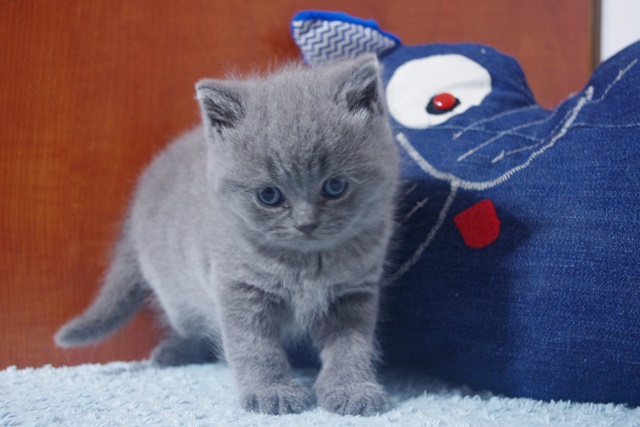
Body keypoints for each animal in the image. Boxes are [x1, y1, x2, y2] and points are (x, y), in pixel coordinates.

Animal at [54, 54, 400, 416]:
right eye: (269, 195)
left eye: (335, 186)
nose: (306, 224)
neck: (306, 264)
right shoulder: (240, 288)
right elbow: (254, 347)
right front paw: (271, 392)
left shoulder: (353, 292)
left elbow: (351, 346)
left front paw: (351, 389)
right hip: (178, 295)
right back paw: (174, 352)